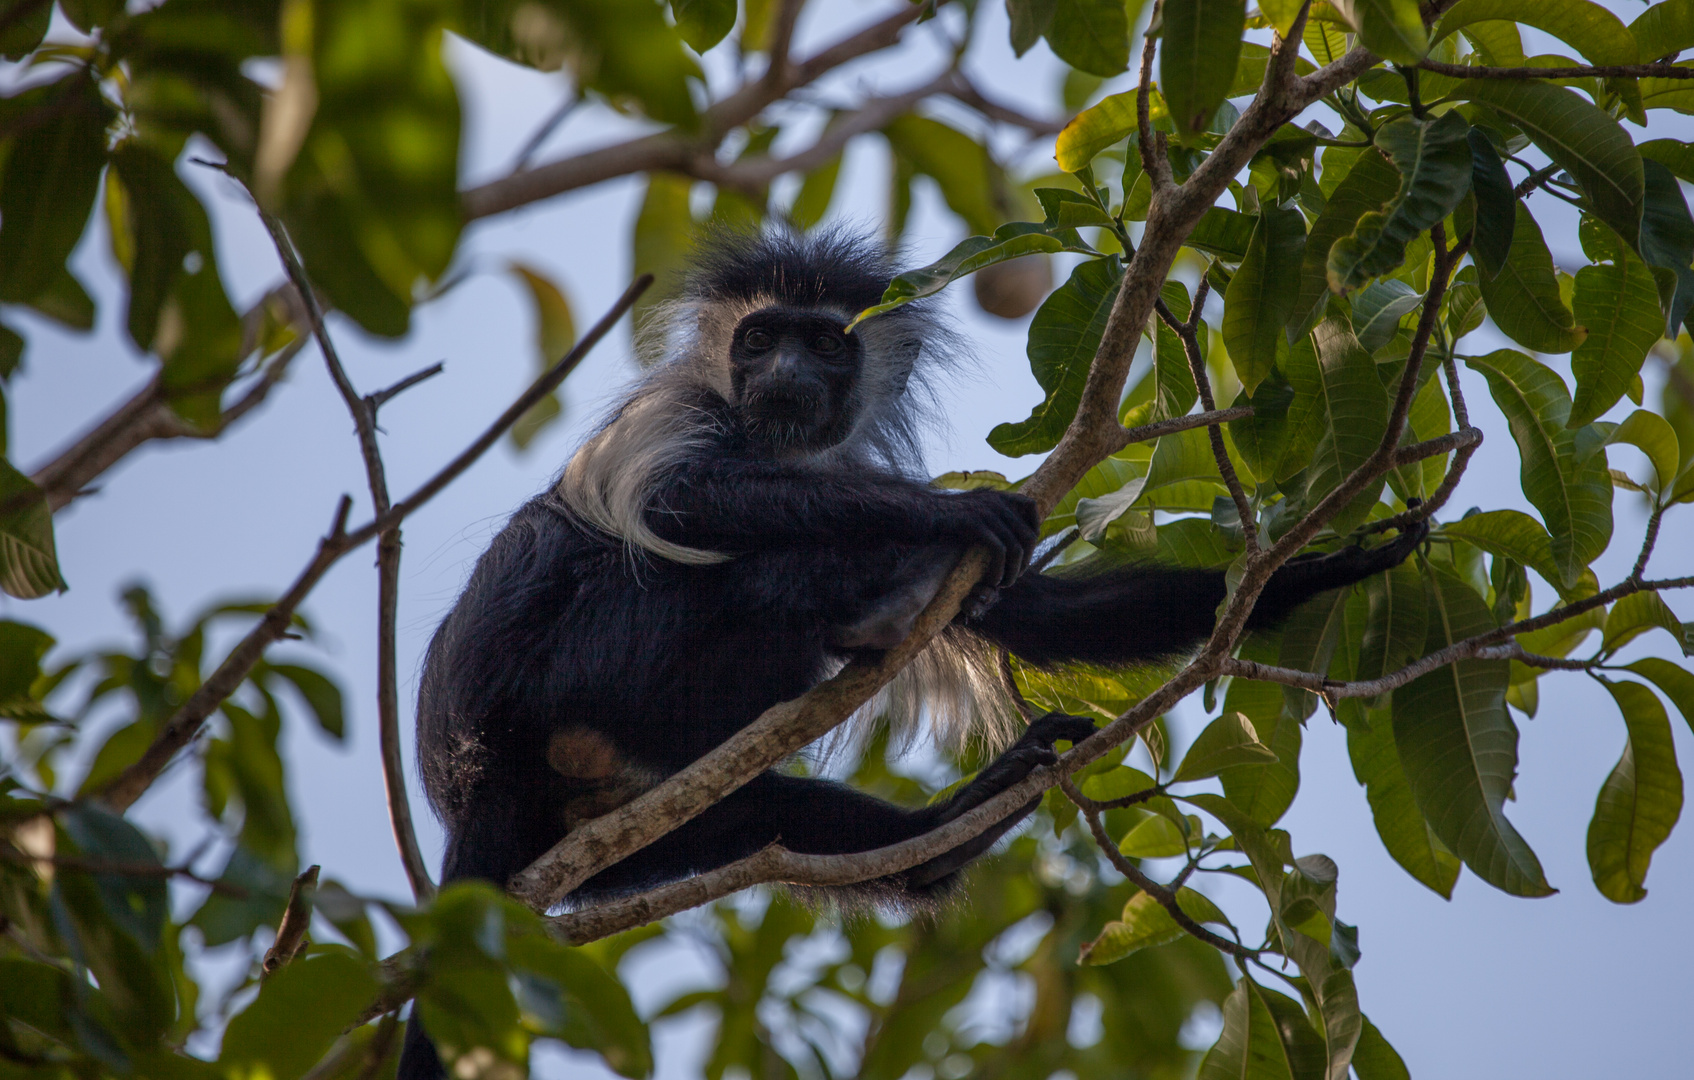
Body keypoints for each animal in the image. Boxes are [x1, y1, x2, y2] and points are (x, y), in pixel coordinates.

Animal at [399, 233, 1429, 1076]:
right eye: (759, 339)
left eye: (823, 344)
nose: (783, 372)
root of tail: (474, 782)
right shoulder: (674, 411)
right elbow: (681, 498)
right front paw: (945, 514)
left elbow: (1045, 617)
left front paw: (1326, 569)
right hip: (591, 666)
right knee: (739, 577)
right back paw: (881, 601)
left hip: (646, 830)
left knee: (789, 820)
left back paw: (955, 822)